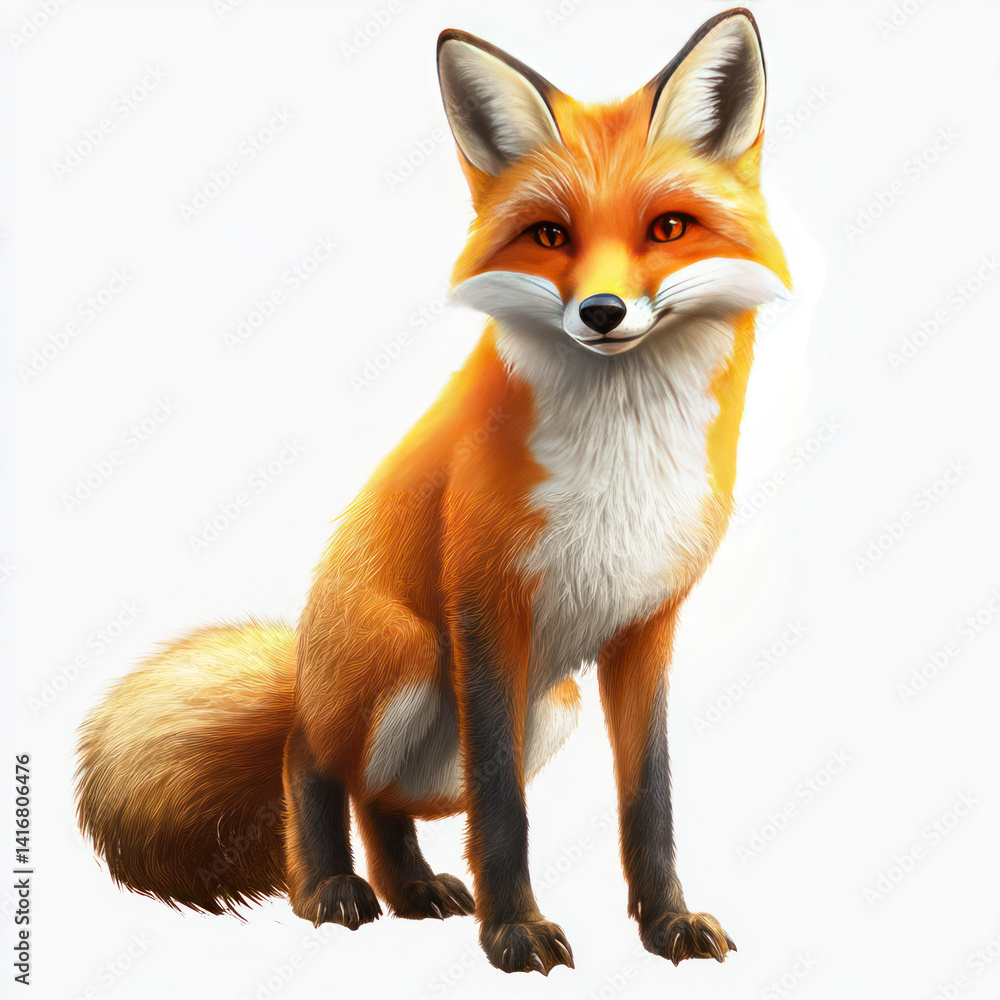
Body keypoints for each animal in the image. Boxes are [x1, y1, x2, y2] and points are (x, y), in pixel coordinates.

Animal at [75, 7, 790, 976]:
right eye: (551, 236)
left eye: (668, 228)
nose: (602, 314)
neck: (622, 460)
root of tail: (306, 665)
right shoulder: (484, 605)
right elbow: (502, 807)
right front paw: (514, 931)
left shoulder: (647, 624)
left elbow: (650, 799)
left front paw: (664, 922)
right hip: (408, 659)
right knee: (311, 760)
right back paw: (329, 889)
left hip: (549, 709)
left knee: (381, 800)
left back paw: (409, 888)